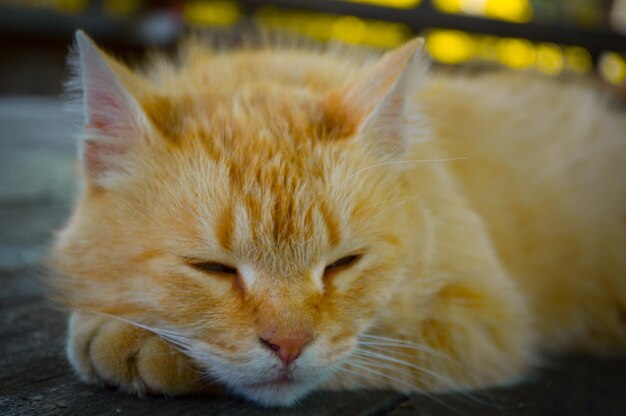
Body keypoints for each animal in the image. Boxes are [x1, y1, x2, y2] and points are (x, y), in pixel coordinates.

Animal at [50, 30, 624, 408]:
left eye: (343, 264)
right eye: (213, 268)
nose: (288, 346)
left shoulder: (485, 322)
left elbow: (364, 353)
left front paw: (135, 342)